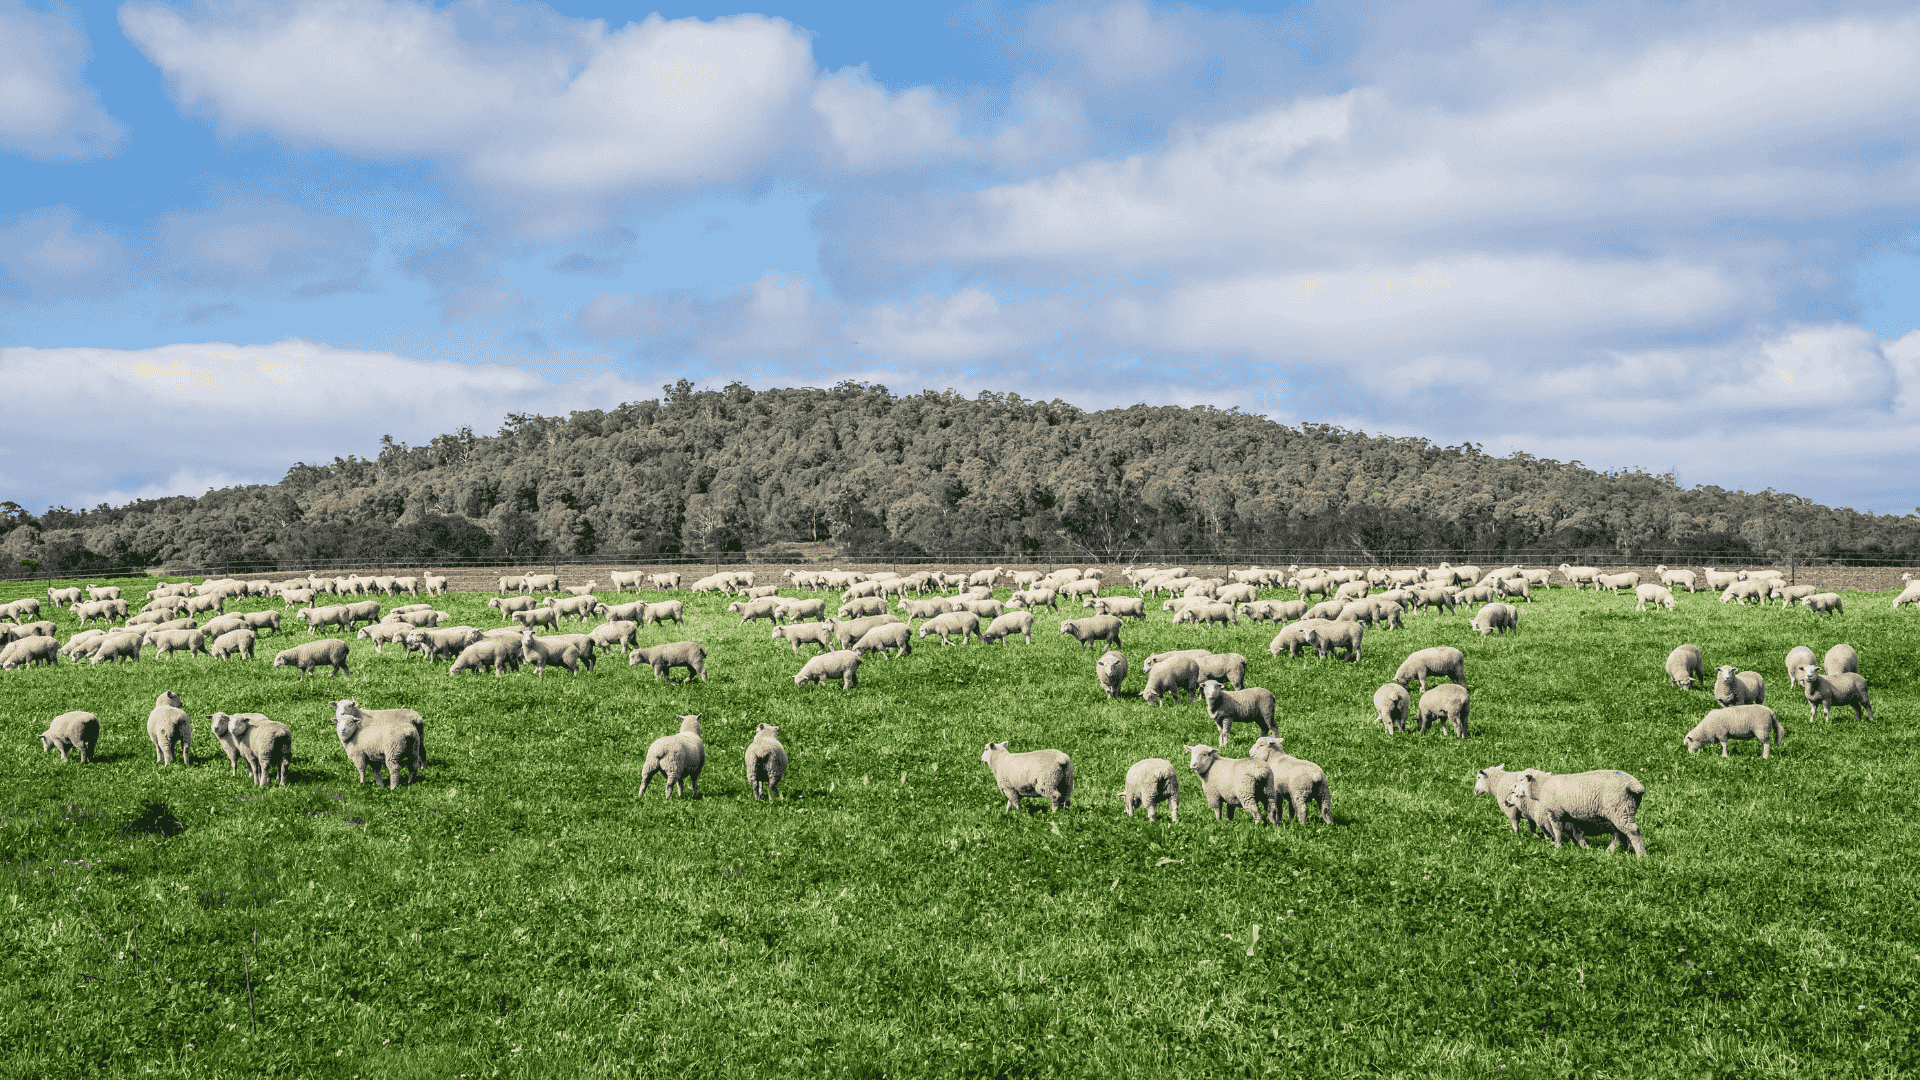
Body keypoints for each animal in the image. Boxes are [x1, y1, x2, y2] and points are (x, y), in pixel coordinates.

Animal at [1504, 769, 1648, 856]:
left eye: (1520, 780)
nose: (1505, 802)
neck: (1542, 786)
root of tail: (1636, 785)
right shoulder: (1570, 815)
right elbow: (1577, 833)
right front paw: (1585, 848)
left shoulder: (1555, 812)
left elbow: (1557, 830)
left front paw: (1557, 845)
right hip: (1621, 811)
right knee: (1620, 834)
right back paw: (1610, 851)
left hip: (1620, 810)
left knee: (1632, 831)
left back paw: (1641, 855)